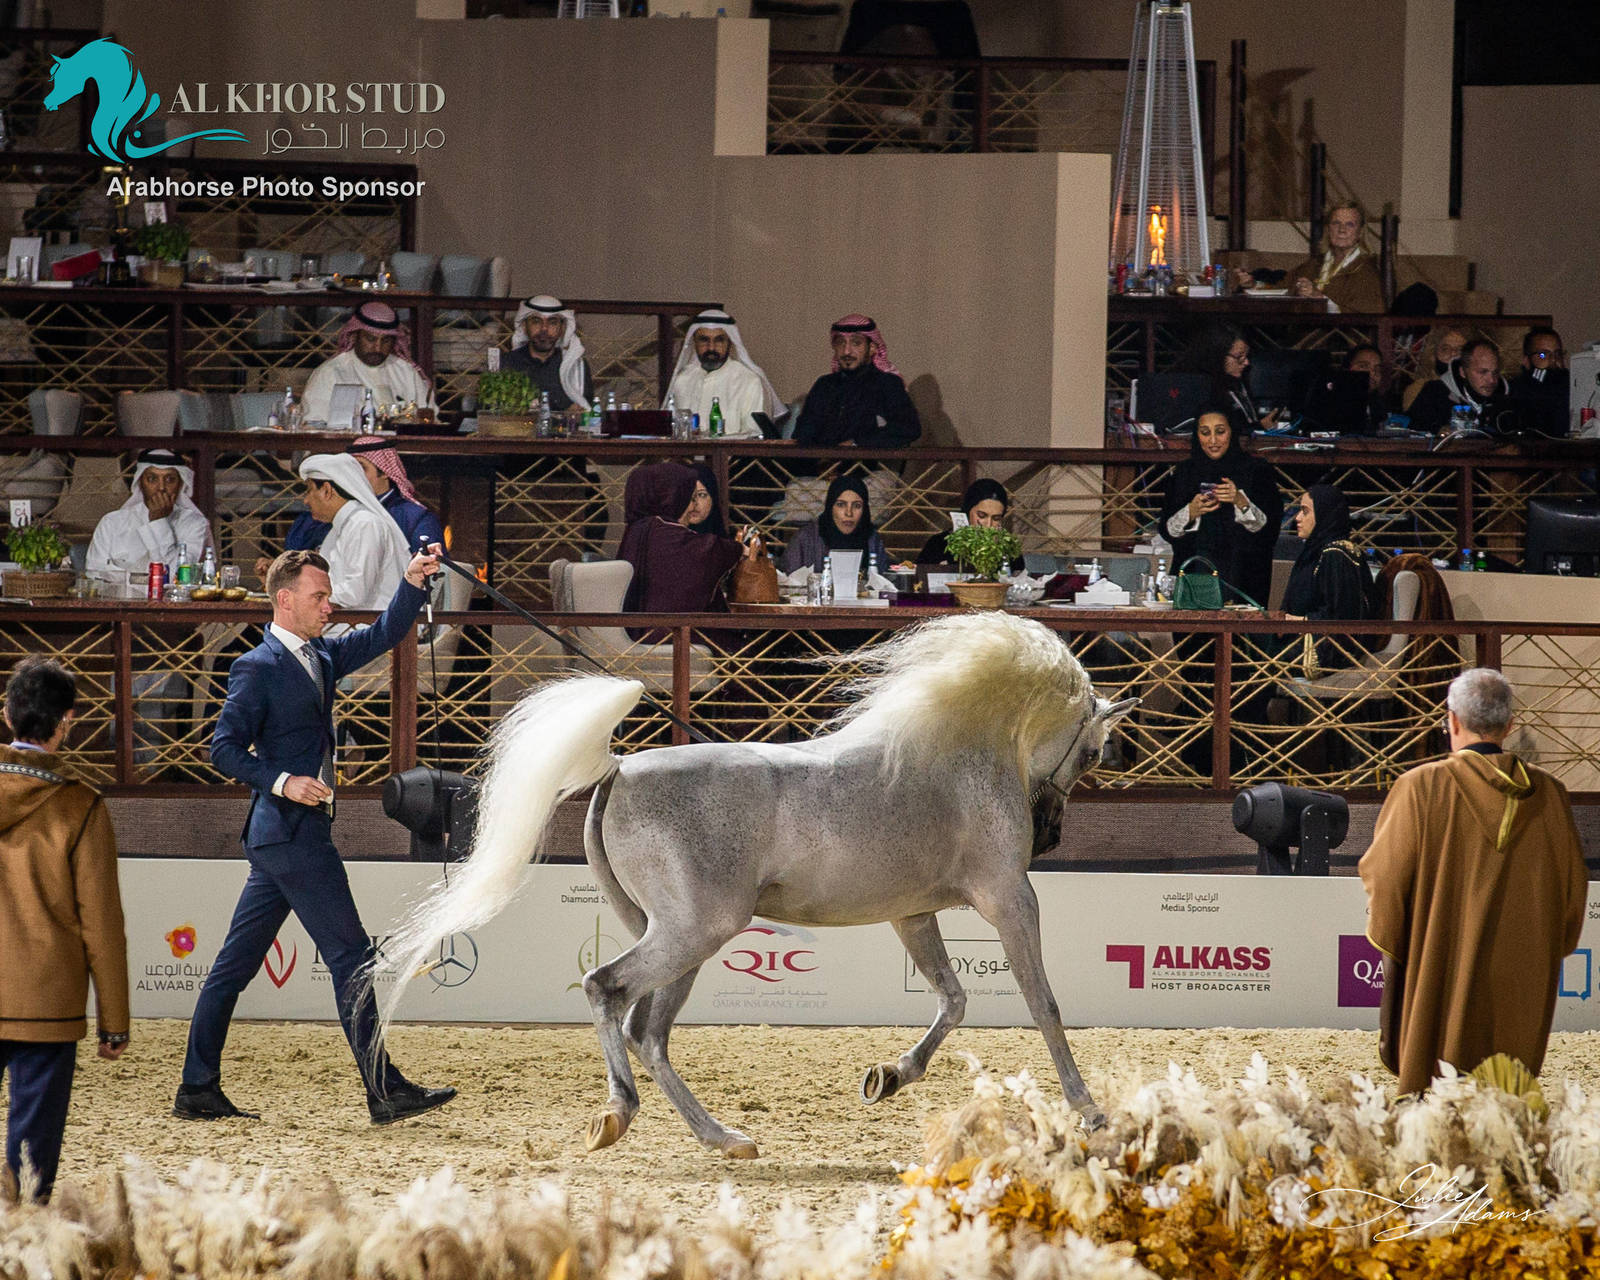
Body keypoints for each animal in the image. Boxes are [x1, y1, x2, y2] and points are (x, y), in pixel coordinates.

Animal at [374, 611, 1136, 1158]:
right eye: (1093, 751)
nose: (1052, 837)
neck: (961, 755)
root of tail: (619, 769)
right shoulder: (1010, 900)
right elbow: (1043, 1005)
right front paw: (1089, 1111)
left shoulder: (914, 915)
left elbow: (953, 999)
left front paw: (889, 1077)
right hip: (694, 932)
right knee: (607, 992)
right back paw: (623, 1114)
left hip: (680, 938)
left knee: (647, 1030)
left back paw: (722, 1138)